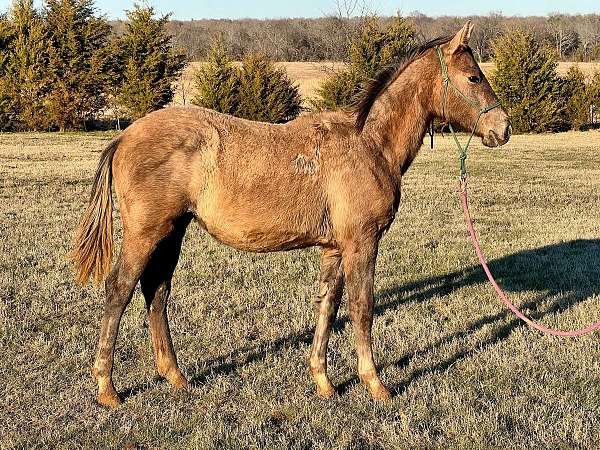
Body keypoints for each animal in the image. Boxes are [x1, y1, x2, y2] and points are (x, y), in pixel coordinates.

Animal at [71, 21, 510, 408]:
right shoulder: (362, 243)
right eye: (473, 77)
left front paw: (324, 382)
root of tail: (124, 136)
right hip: (146, 233)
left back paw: (176, 378)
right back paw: (107, 389)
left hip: (172, 232)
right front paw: (376, 386)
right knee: (119, 290)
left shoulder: (335, 248)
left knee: (157, 292)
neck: (368, 144)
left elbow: (328, 306)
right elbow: (362, 307)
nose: (503, 128)